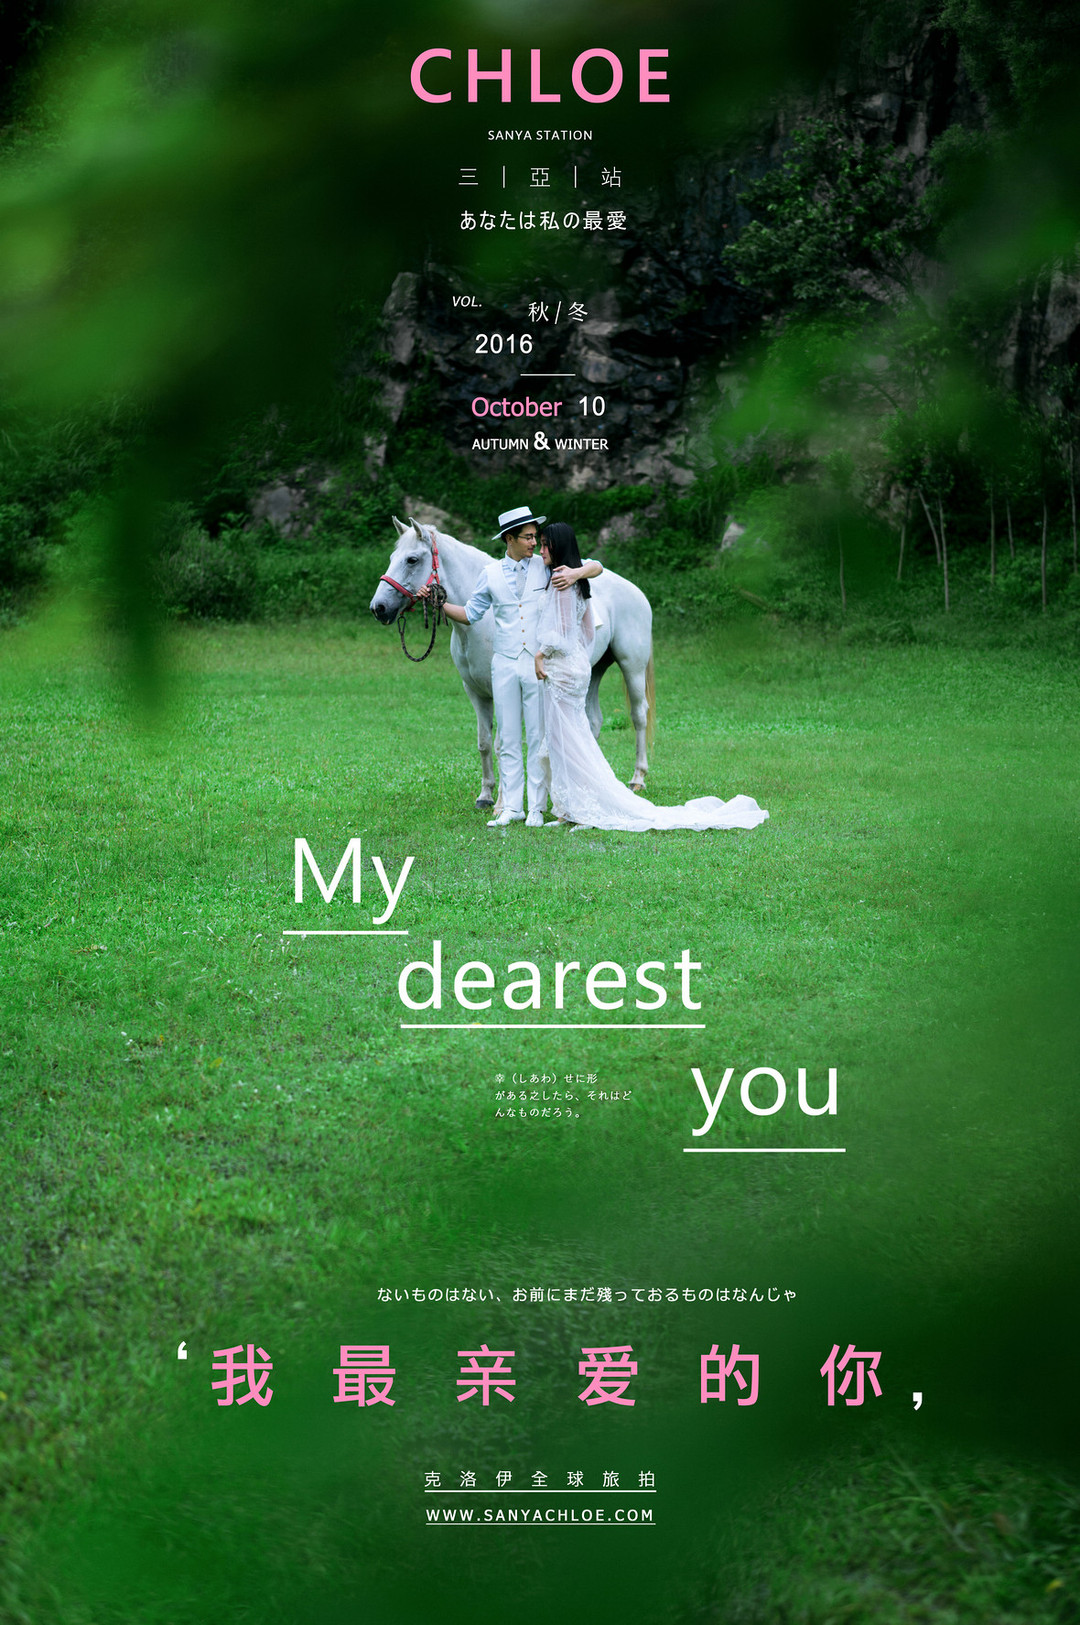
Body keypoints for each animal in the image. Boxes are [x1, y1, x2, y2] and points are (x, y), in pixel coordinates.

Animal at [370, 517, 655, 809]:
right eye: (392, 557)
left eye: (412, 559)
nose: (378, 608)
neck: (480, 623)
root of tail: (634, 590)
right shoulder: (476, 693)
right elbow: (484, 743)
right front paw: (485, 795)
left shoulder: (503, 690)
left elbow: (501, 744)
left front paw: (502, 803)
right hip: (592, 672)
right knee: (591, 722)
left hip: (632, 667)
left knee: (638, 715)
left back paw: (637, 779)